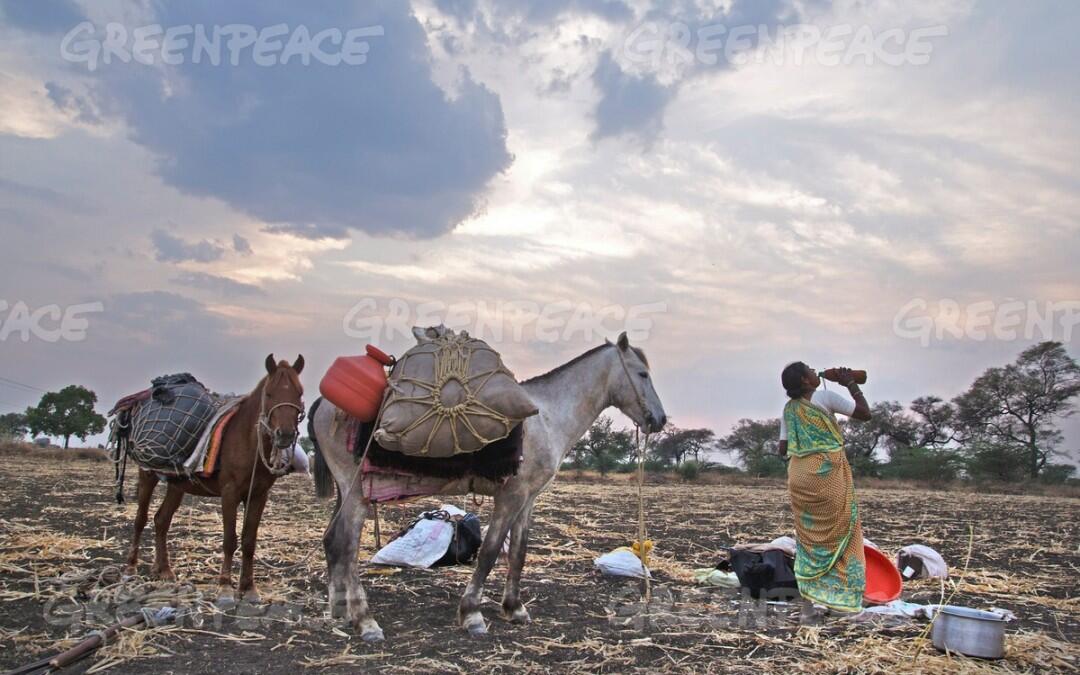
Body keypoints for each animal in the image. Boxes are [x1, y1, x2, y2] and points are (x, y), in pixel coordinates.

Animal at [124, 352, 306, 600]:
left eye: (299, 393)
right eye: (269, 393)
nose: (285, 435)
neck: (245, 439)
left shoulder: (259, 496)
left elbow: (249, 541)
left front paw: (248, 587)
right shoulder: (229, 493)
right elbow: (230, 539)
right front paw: (225, 586)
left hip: (176, 485)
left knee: (161, 520)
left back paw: (164, 570)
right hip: (147, 475)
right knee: (140, 519)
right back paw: (131, 568)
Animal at [308, 328, 665, 639]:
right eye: (642, 374)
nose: (659, 420)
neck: (547, 417)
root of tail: (322, 404)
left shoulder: (527, 499)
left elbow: (518, 551)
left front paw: (514, 608)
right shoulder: (511, 496)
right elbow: (491, 551)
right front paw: (472, 615)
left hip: (346, 491)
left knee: (331, 540)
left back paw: (339, 609)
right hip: (356, 493)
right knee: (347, 546)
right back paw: (365, 620)